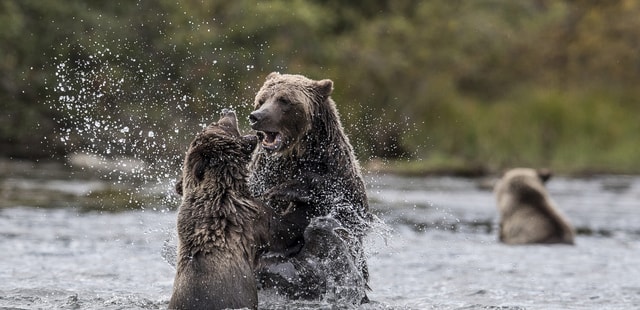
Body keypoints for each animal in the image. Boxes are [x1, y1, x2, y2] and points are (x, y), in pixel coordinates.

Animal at [246, 72, 376, 302]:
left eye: (284, 100)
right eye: (261, 99)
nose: (256, 116)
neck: (298, 152)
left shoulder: (338, 172)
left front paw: (285, 190)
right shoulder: (262, 174)